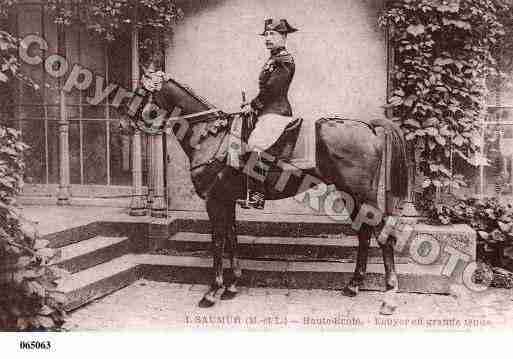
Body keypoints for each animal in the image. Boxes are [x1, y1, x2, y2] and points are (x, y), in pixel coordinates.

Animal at [124, 76, 408, 316]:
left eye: (140, 90)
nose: (124, 124)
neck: (210, 135)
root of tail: (368, 127)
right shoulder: (227, 201)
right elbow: (232, 237)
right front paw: (232, 286)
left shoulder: (214, 201)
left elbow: (218, 242)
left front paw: (213, 291)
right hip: (349, 194)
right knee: (364, 234)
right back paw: (354, 285)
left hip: (362, 194)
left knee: (383, 235)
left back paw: (389, 297)